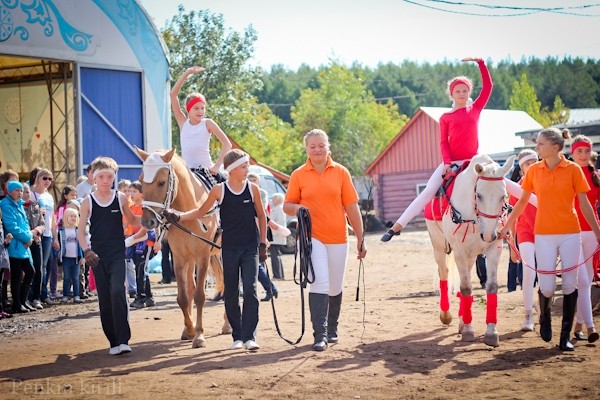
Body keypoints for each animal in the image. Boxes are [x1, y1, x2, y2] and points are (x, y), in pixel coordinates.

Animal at [135, 147, 230, 346]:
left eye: (162, 182)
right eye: (141, 181)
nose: (147, 221)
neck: (188, 211)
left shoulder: (202, 256)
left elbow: (200, 296)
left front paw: (199, 335)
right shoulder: (179, 256)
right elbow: (183, 297)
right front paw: (190, 329)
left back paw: (227, 325)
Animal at [424, 154, 512, 346]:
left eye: (503, 196)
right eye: (479, 195)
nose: (488, 235)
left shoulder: (494, 249)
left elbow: (491, 286)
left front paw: (491, 332)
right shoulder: (459, 252)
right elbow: (465, 288)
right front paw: (468, 331)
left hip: (470, 256)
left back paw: (461, 321)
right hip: (438, 246)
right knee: (444, 273)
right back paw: (446, 315)